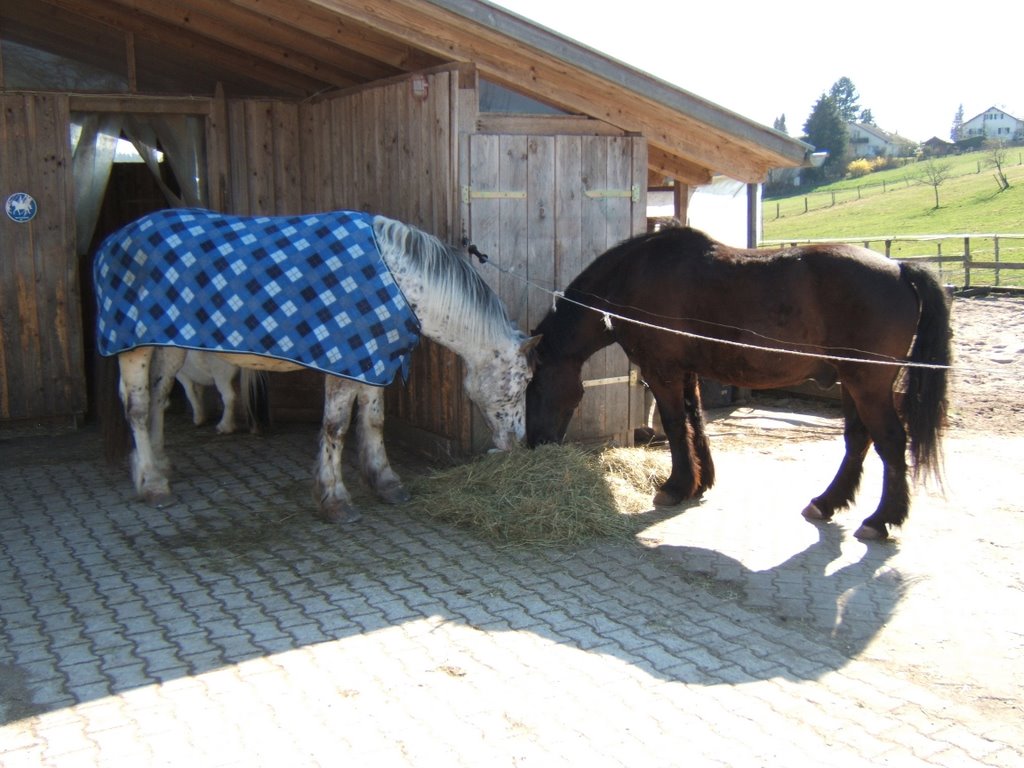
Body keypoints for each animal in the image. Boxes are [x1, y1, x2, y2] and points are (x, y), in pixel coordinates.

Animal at [96, 210, 540, 524]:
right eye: (523, 381)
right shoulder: (346, 365)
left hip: (168, 345)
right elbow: (336, 428)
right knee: (137, 408)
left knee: (159, 397)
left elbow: (373, 422)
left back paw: (157, 465)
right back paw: (152, 484)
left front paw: (386, 483)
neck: (399, 279)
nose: (518, 443)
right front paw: (335, 500)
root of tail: (112, 242)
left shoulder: (372, 362)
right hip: (131, 348)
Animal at [528, 225, 950, 540]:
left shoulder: (661, 370)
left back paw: (881, 520)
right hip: (852, 383)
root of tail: (899, 268)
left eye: (534, 388)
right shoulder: (687, 371)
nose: (535, 444)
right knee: (858, 440)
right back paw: (827, 502)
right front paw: (700, 484)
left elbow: (675, 425)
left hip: (868, 385)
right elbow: (694, 422)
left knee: (890, 442)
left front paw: (675, 487)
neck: (634, 276)